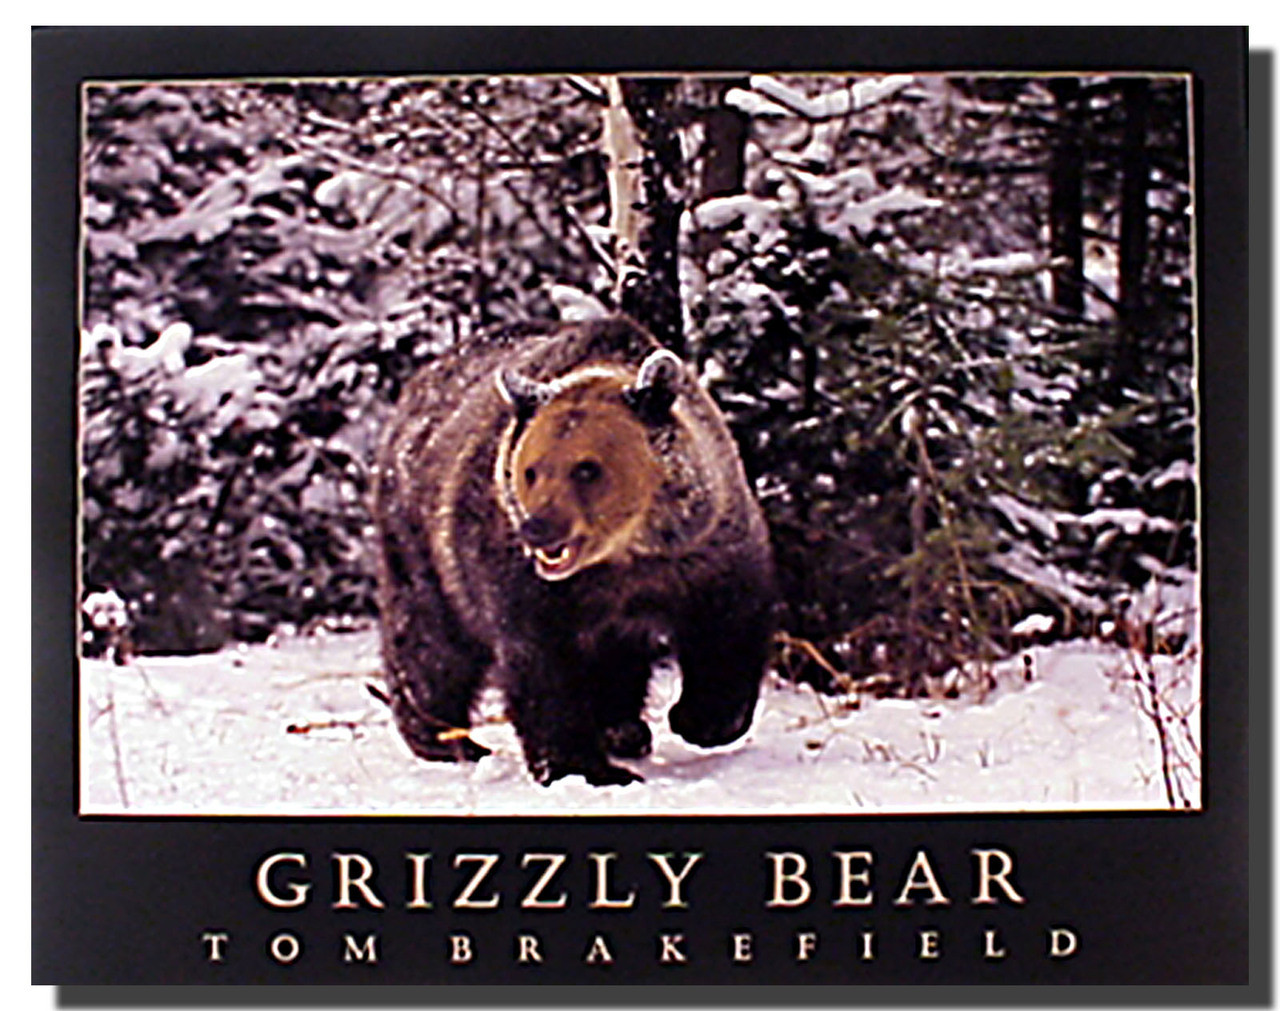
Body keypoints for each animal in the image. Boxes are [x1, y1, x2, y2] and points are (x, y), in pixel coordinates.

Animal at [372, 315, 775, 786]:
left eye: (586, 468)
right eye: (531, 470)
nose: (537, 528)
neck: (625, 556)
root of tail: (418, 384)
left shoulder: (706, 552)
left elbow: (728, 628)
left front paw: (701, 719)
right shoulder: (523, 584)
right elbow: (544, 669)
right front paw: (584, 767)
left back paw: (625, 729)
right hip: (422, 547)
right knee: (430, 642)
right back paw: (446, 738)